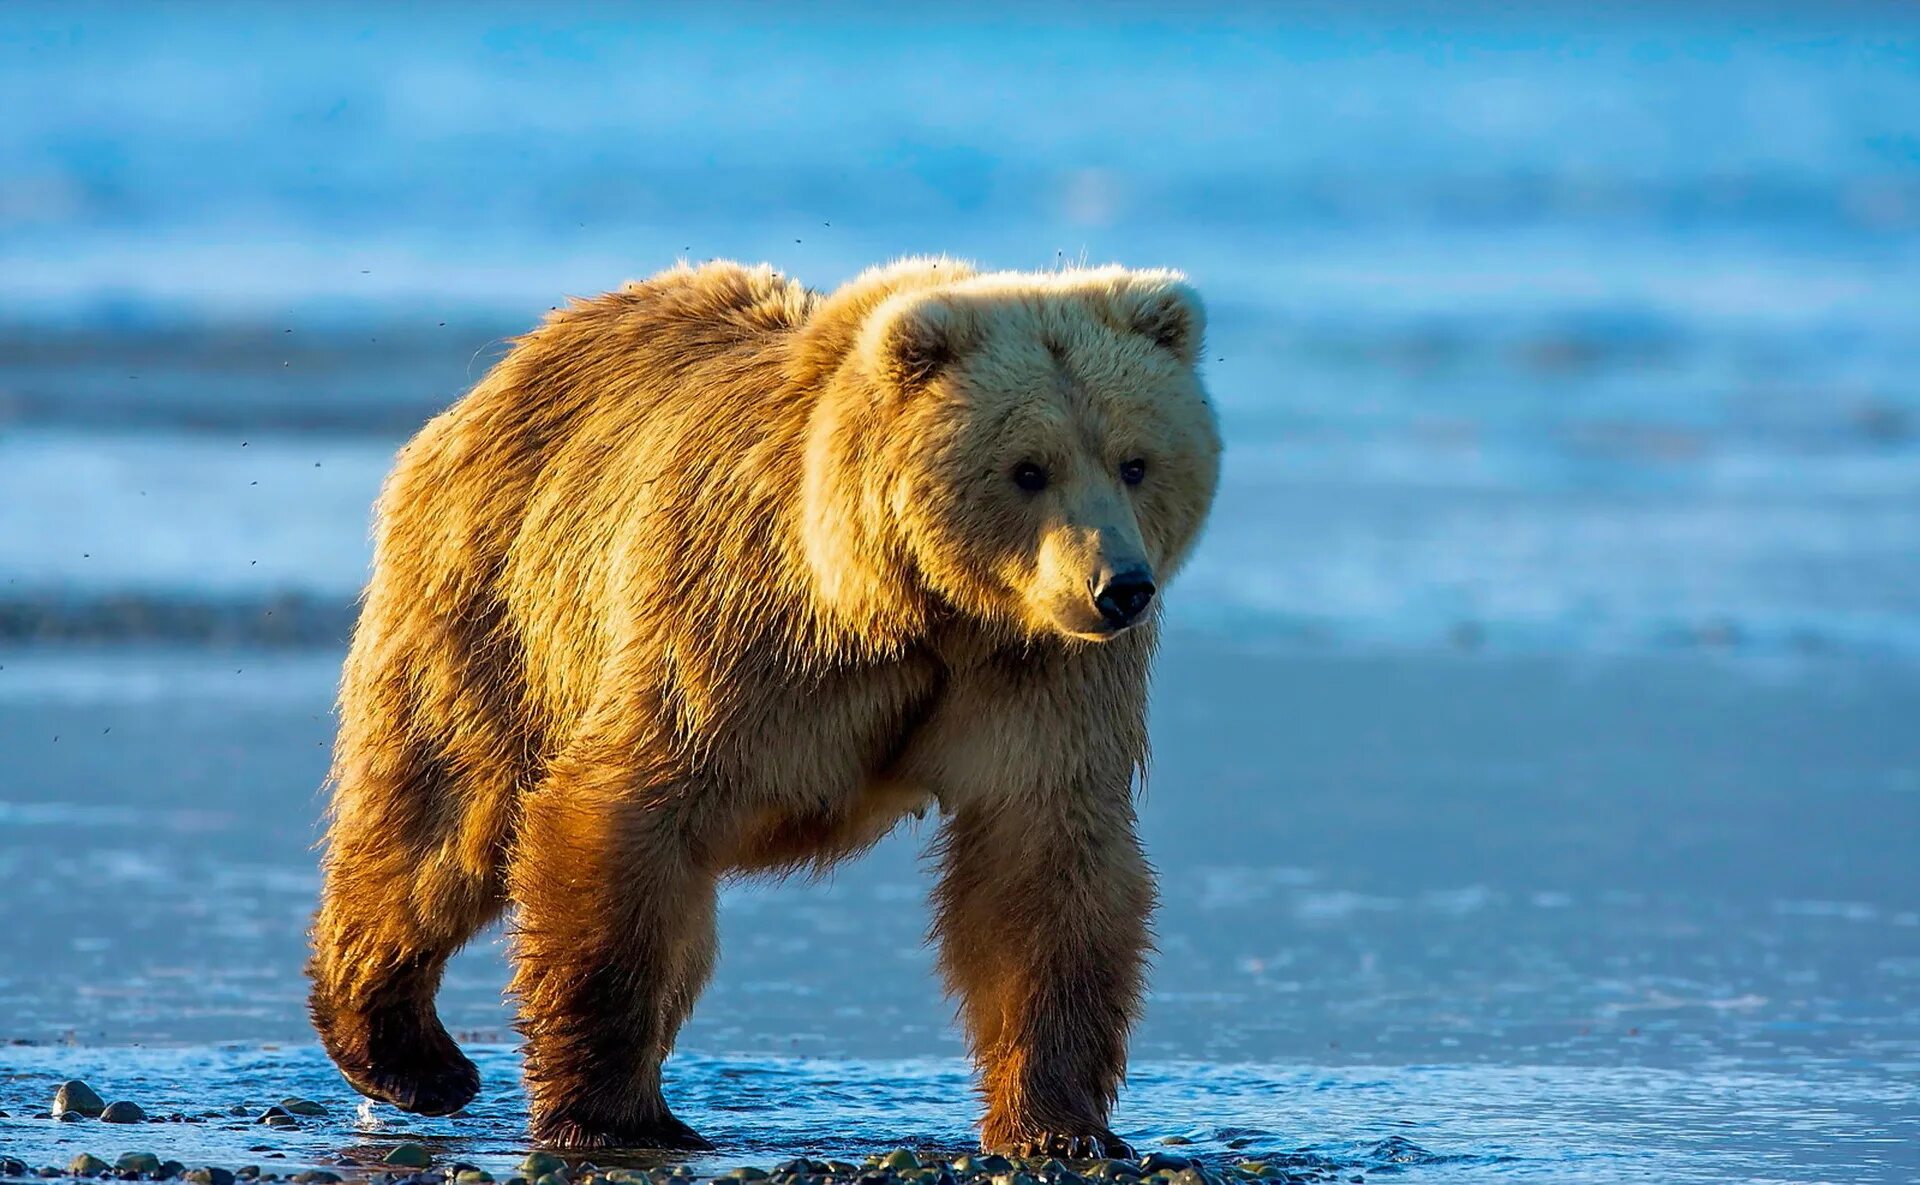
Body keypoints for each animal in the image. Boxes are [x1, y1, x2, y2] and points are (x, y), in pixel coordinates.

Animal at [307, 259, 1221, 1152]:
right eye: (1029, 468)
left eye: (1135, 461)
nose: (1119, 587)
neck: (909, 606)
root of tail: (506, 370)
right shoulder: (737, 628)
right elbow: (622, 815)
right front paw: (609, 1111)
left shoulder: (1038, 678)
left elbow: (1042, 865)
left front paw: (1060, 1123)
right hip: (500, 601)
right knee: (444, 813)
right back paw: (406, 1052)